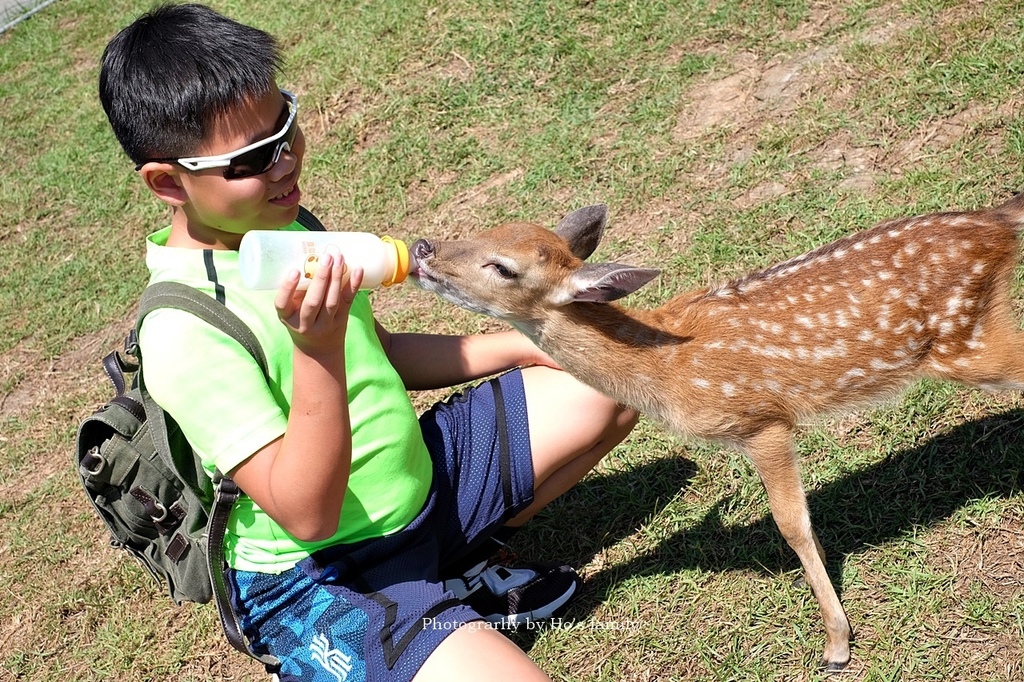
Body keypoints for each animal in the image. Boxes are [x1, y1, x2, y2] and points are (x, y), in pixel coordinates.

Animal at [411, 192, 1024, 667]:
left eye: (502, 267)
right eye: (485, 229)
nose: (421, 249)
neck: (667, 369)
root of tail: (994, 220)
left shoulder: (761, 420)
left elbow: (792, 523)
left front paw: (836, 644)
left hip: (965, 340)